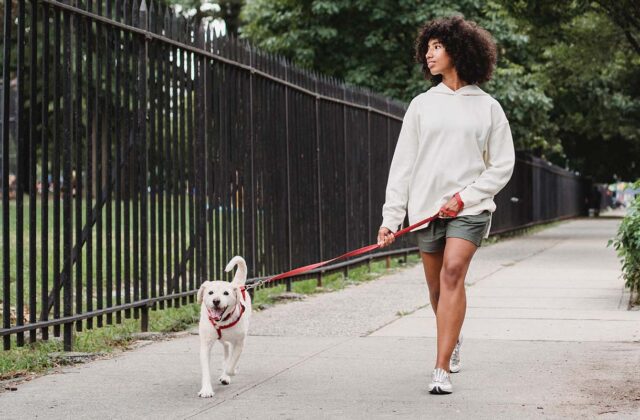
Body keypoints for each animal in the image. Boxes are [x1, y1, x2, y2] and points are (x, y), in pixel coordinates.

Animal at [196, 256, 251, 398]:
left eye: (226, 293)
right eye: (210, 292)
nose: (216, 301)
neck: (222, 322)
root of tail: (237, 284)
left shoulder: (239, 343)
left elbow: (231, 365)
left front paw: (229, 372)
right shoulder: (205, 344)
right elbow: (206, 369)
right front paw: (206, 390)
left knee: (228, 351)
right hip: (220, 339)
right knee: (225, 346)